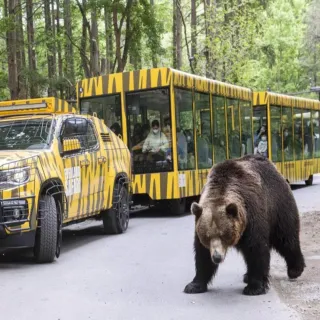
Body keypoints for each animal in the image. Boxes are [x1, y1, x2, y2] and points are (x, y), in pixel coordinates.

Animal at [182, 154, 304, 296]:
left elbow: (256, 248)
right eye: (207, 236)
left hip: (278, 206)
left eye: (224, 235)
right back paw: (247, 276)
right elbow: (202, 254)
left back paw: (295, 269)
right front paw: (193, 285)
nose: (217, 257)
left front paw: (254, 287)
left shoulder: (252, 215)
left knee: (286, 237)